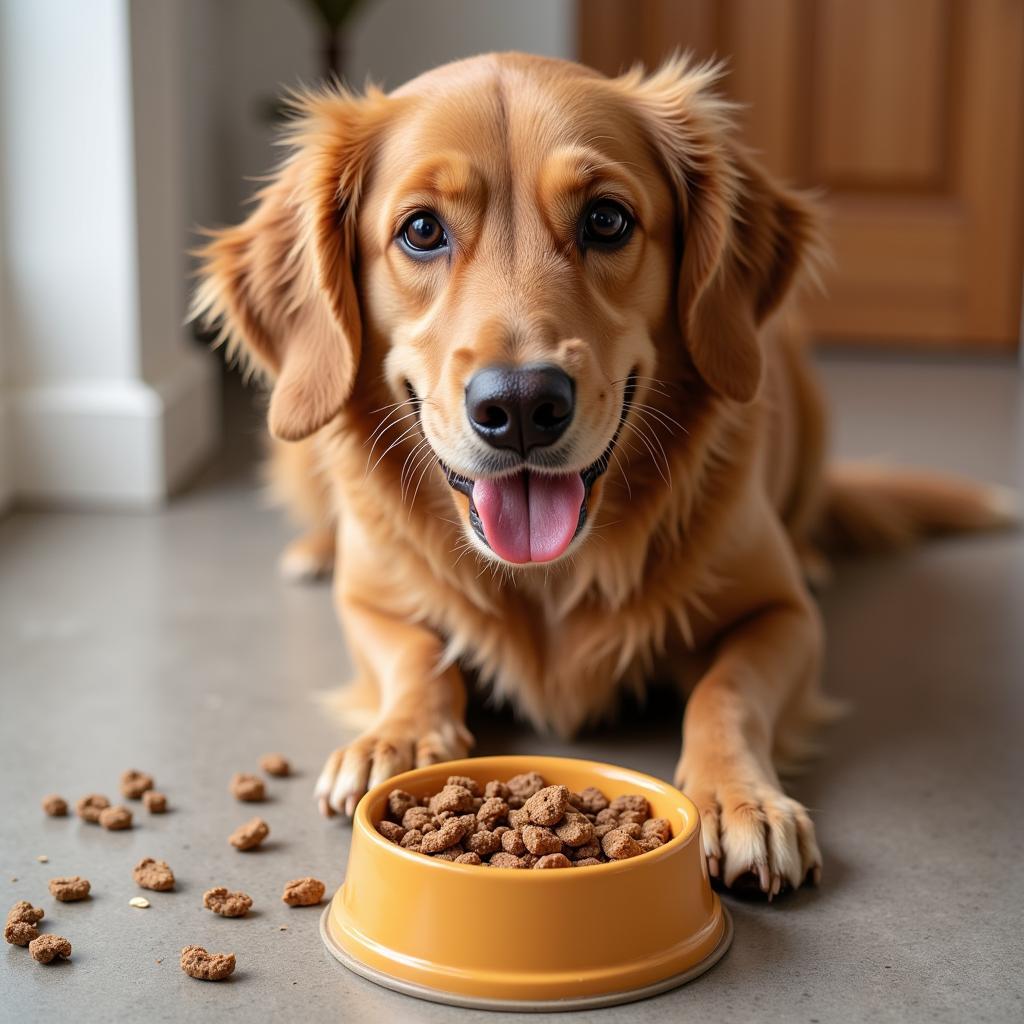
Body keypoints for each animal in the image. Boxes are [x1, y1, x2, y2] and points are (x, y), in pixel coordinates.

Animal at [192, 54, 1007, 897]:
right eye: (421, 230)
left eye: (607, 220)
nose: (521, 405)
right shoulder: (371, 603)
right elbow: (417, 656)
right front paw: (401, 738)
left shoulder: (783, 617)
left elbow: (726, 692)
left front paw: (738, 798)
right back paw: (314, 551)